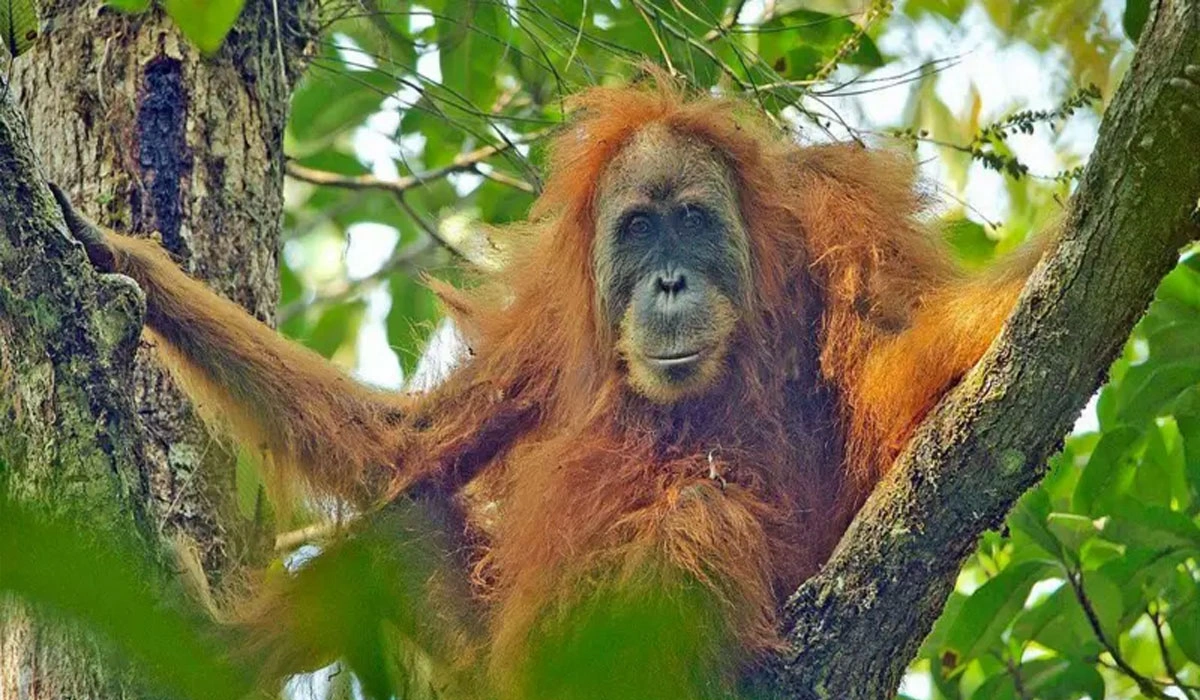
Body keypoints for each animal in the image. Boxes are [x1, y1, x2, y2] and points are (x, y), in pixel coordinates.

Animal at [48, 76, 1040, 698]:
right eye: (638, 229)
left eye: (692, 222)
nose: (669, 283)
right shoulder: (553, 327)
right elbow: (408, 443)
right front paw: (123, 259)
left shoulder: (844, 224)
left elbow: (900, 368)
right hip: (489, 671)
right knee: (400, 536)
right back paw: (204, 647)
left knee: (697, 516)